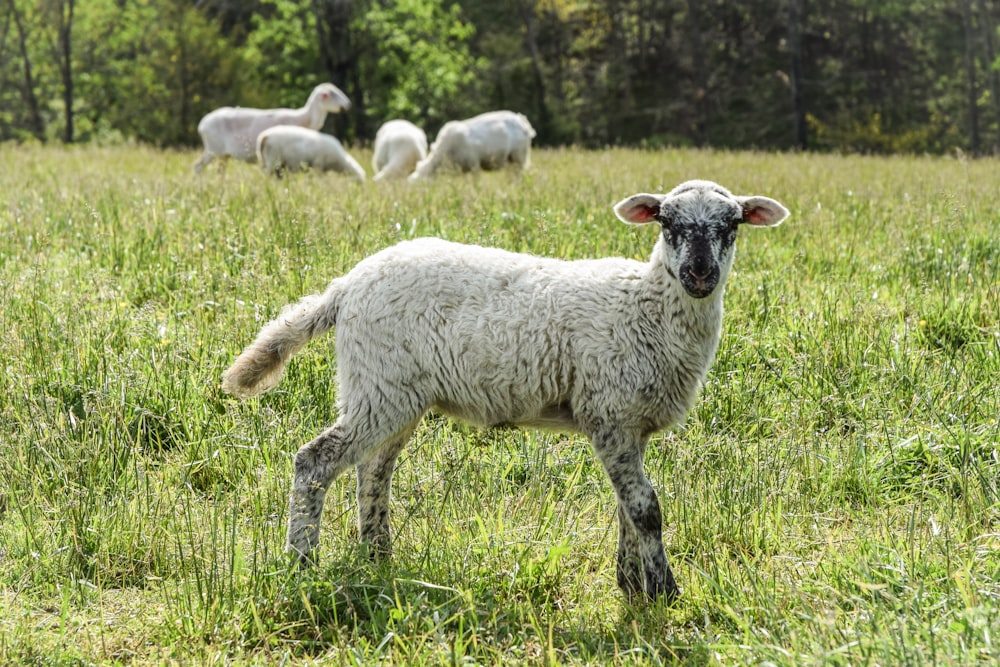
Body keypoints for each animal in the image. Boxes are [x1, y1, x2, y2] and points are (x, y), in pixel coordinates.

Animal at [194, 83, 352, 174]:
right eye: (333, 94)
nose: (349, 104)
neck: (304, 117)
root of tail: (202, 124)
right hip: (213, 149)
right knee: (198, 167)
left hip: (222, 155)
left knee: (219, 172)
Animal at [219, 180, 788, 604]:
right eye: (667, 224)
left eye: (731, 225)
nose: (700, 274)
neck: (646, 307)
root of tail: (347, 286)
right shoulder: (607, 413)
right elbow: (646, 508)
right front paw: (665, 592)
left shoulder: (631, 420)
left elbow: (628, 508)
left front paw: (632, 586)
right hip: (380, 383)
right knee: (315, 461)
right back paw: (303, 562)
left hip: (392, 392)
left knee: (372, 471)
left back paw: (378, 556)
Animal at [406, 111, 536, 181]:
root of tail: (521, 120)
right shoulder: (463, 169)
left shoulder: (474, 165)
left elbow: (476, 183)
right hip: (511, 160)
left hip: (519, 156)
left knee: (518, 176)